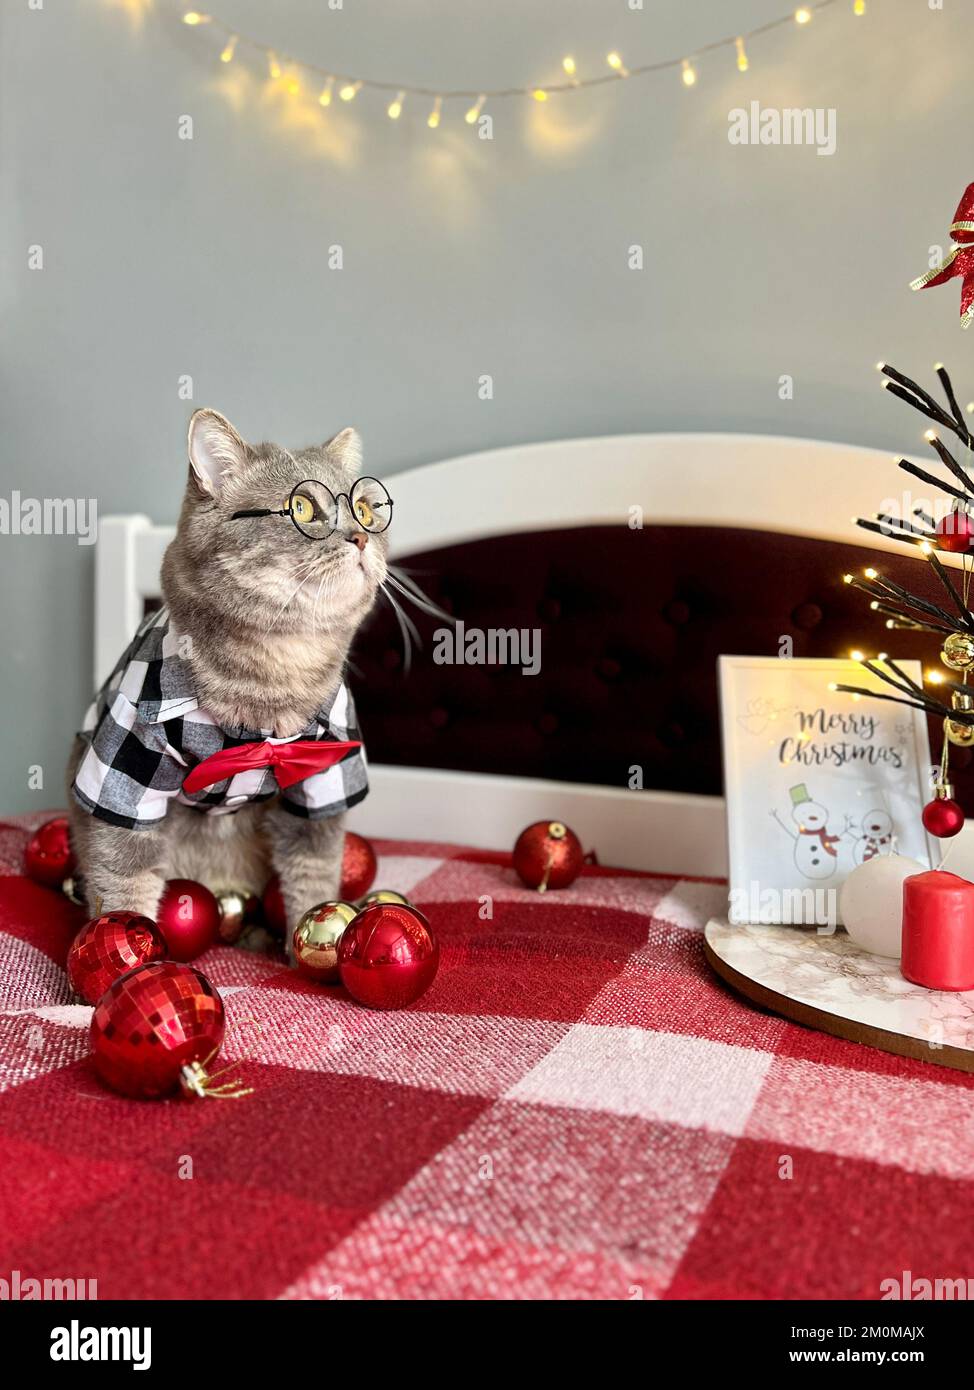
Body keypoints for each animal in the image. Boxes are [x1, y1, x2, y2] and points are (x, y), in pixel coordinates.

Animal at [63, 405, 391, 939]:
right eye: (302, 509)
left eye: (365, 510)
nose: (361, 535)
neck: (273, 678)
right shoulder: (124, 772)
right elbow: (123, 883)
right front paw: (128, 950)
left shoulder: (326, 777)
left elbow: (314, 878)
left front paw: (312, 936)